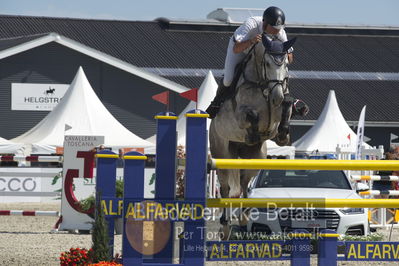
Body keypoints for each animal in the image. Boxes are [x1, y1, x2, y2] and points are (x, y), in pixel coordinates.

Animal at [209, 33, 296, 239]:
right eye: (267, 63)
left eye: (285, 64)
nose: (277, 97)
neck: (264, 86)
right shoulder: (242, 115)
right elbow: (251, 115)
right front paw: (253, 134)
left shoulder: (277, 115)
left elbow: (288, 104)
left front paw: (283, 134)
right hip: (222, 154)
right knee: (226, 188)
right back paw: (225, 226)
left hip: (256, 157)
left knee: (244, 183)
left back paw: (244, 216)